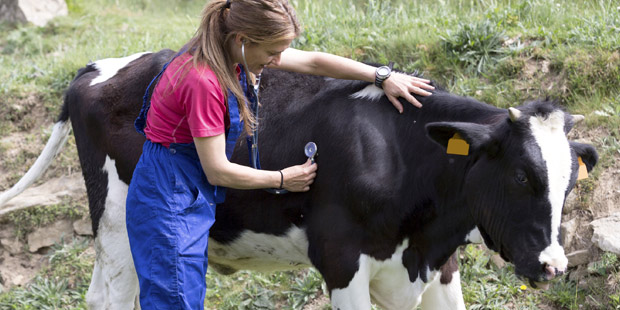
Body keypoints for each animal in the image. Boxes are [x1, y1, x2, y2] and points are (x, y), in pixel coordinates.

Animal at [0, 49, 600, 310]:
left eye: (569, 183)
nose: (553, 265)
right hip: (119, 225)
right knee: (112, 298)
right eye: (521, 176)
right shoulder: (340, 261)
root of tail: (96, 68)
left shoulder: (438, 263)